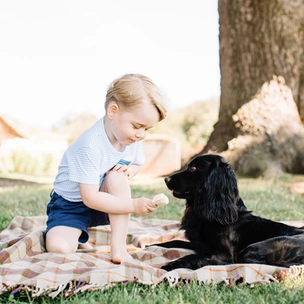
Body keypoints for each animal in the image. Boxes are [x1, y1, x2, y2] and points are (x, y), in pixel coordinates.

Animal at [157, 154, 304, 270]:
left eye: (193, 168)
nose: (166, 179)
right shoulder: (199, 245)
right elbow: (173, 242)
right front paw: (154, 245)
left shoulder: (225, 255)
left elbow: (193, 257)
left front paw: (170, 265)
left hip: (251, 249)